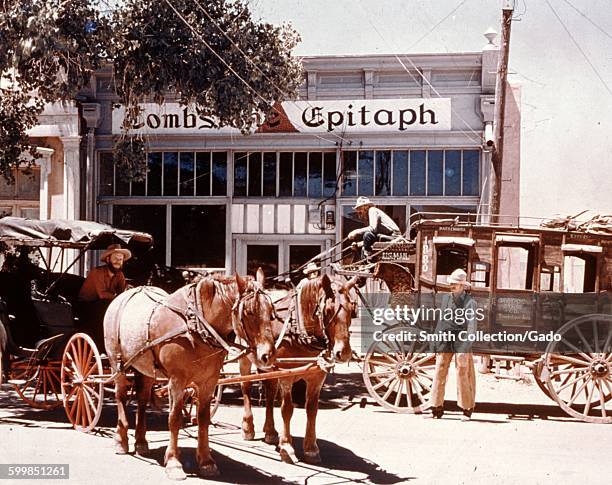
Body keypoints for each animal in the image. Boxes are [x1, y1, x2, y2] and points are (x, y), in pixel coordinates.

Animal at [104, 270, 276, 478]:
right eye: (249, 312)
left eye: (271, 312)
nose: (267, 355)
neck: (195, 325)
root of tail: (123, 295)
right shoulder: (177, 381)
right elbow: (174, 419)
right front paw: (173, 462)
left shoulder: (209, 381)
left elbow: (203, 419)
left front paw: (206, 461)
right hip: (117, 364)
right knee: (120, 396)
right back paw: (121, 440)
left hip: (144, 369)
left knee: (142, 400)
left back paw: (141, 442)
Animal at [238, 274, 356, 464]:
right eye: (328, 310)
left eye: (352, 309)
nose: (343, 353)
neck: (299, 328)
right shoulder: (286, 375)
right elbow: (287, 409)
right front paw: (287, 447)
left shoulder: (317, 377)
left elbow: (312, 410)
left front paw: (311, 449)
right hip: (245, 358)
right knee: (246, 388)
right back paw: (248, 427)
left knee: (270, 391)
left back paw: (270, 431)